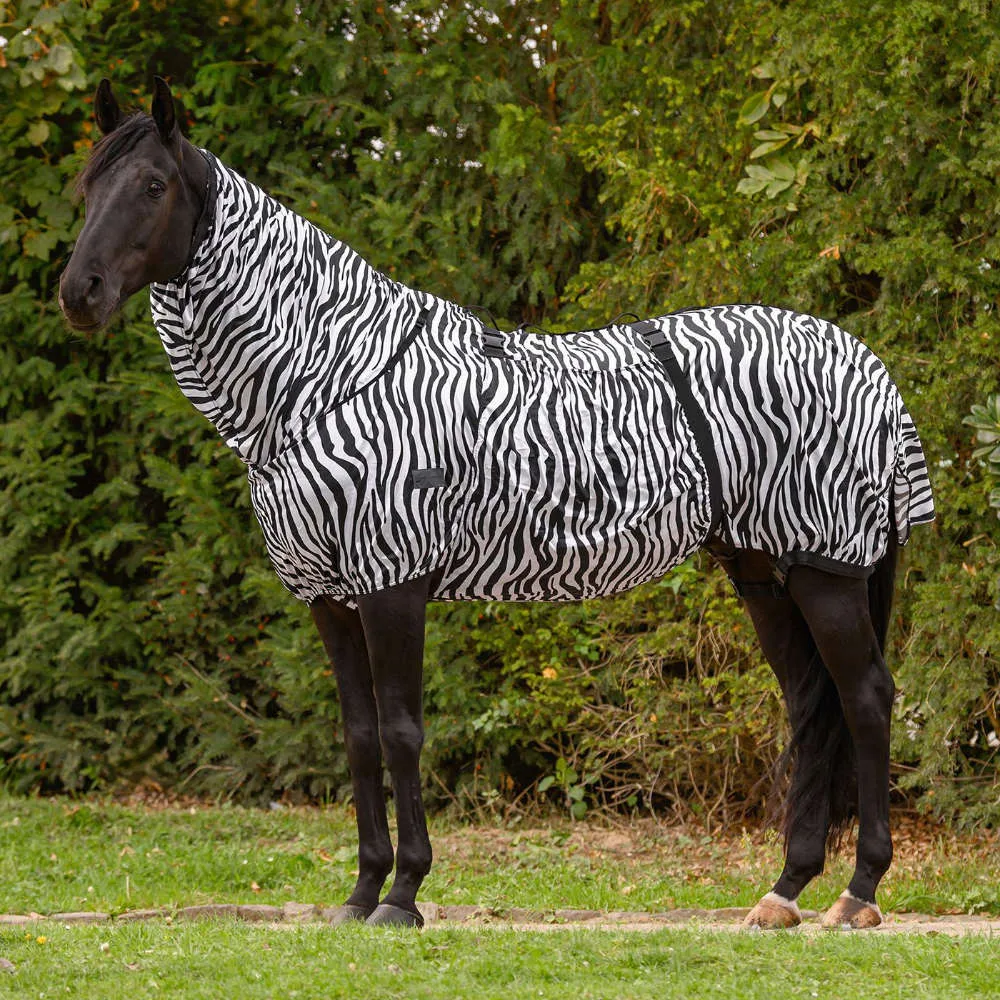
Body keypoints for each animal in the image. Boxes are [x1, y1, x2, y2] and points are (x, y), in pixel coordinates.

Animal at [59, 77, 933, 931]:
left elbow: (403, 732)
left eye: (152, 185)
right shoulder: (328, 597)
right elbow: (359, 737)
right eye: (88, 185)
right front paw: (360, 893)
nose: (78, 294)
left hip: (825, 569)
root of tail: (867, 364)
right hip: (762, 570)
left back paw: (858, 893)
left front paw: (404, 895)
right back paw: (785, 891)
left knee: (865, 698)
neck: (327, 376)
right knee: (811, 705)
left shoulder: (393, 583)